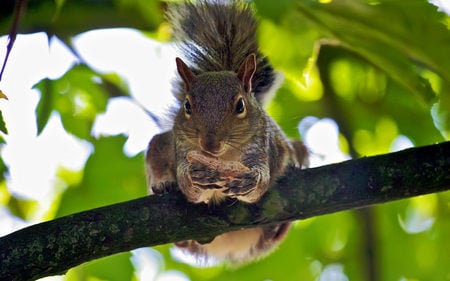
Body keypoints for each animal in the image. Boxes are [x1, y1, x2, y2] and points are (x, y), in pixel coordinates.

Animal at [146, 0, 308, 262]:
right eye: (187, 106)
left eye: (240, 106)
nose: (209, 144)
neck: (223, 158)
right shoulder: (181, 147)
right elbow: (191, 191)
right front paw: (193, 178)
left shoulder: (264, 146)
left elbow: (258, 188)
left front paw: (250, 181)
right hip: (161, 146)